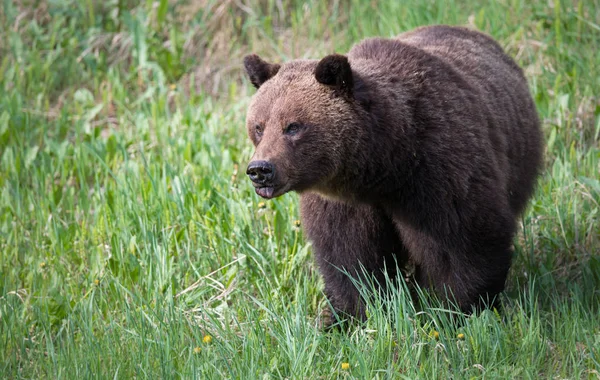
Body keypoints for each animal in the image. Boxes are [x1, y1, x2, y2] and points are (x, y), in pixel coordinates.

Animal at [241, 26, 540, 324]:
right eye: (259, 126)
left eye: (293, 126)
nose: (260, 169)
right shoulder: (342, 203)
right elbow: (351, 260)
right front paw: (347, 315)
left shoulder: (439, 172)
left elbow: (463, 244)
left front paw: (458, 309)